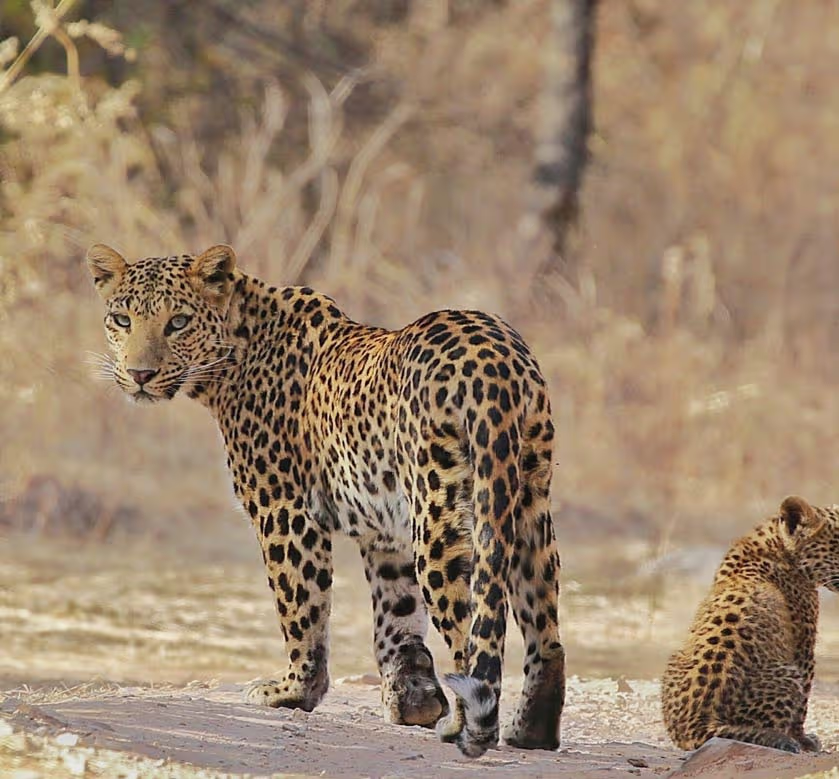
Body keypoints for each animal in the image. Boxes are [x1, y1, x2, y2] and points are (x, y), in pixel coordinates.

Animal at [86, 243, 566, 758]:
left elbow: (300, 604)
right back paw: (532, 731)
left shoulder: (283, 508)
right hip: (527, 499)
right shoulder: (386, 530)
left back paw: (468, 726)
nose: (140, 374)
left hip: (441, 512)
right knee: (544, 624)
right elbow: (396, 615)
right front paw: (413, 700)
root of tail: (495, 359)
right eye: (121, 319)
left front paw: (293, 691)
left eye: (177, 322)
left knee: (471, 629)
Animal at [661, 495, 839, 753]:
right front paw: (804, 740)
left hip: (674, 659)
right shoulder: (803, 645)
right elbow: (804, 701)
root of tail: (697, 725)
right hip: (787, 674)